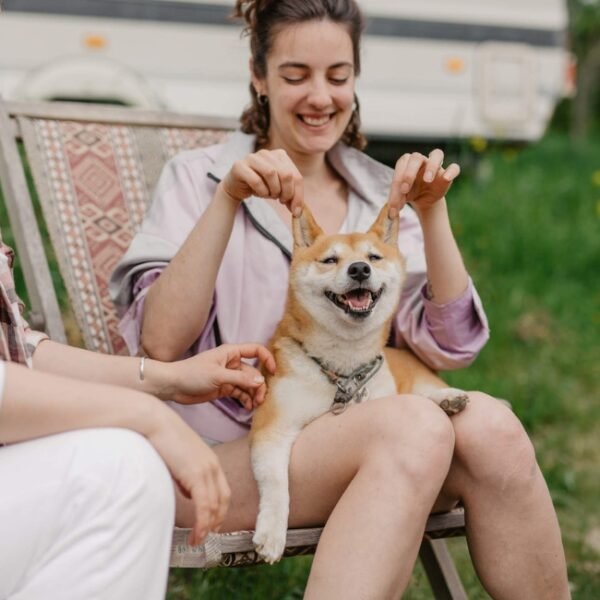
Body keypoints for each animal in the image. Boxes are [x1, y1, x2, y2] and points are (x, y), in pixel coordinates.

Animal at [248, 202, 468, 564]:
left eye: (373, 257)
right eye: (329, 260)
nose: (360, 269)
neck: (343, 370)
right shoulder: (272, 426)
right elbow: (277, 484)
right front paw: (271, 531)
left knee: (418, 396)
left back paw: (447, 398)